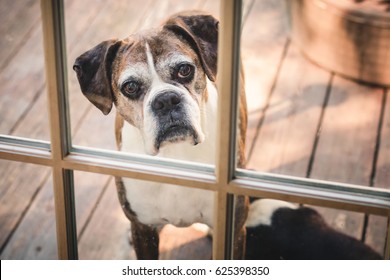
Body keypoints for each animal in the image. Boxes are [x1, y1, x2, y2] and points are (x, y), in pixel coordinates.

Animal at [74, 11, 247, 260]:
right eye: (130, 87)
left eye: (184, 69)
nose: (165, 100)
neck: (174, 153)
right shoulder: (143, 230)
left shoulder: (234, 231)